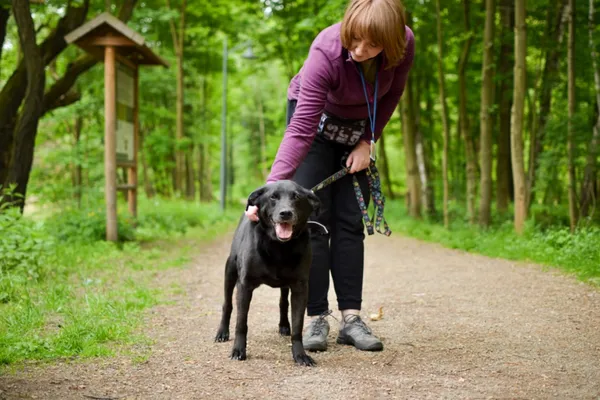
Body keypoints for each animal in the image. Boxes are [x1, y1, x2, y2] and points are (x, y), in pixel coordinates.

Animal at [214, 180, 322, 368]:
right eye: (273, 197)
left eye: (296, 197)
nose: (285, 213)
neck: (279, 247)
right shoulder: (245, 285)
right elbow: (241, 323)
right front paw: (238, 350)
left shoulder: (300, 288)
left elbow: (297, 326)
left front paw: (300, 355)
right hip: (230, 271)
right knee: (227, 304)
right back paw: (222, 332)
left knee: (283, 302)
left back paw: (284, 325)